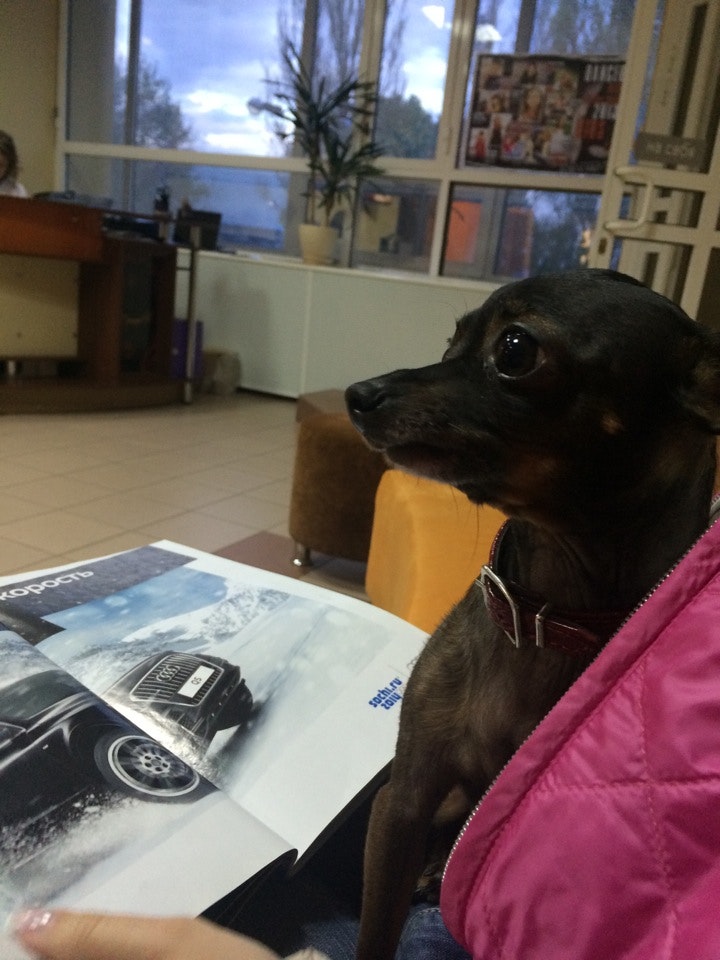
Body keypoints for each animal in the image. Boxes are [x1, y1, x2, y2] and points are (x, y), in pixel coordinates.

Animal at [345, 269, 720, 960]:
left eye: (515, 350)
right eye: (450, 342)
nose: (360, 394)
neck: (544, 614)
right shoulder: (403, 801)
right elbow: (376, 928)